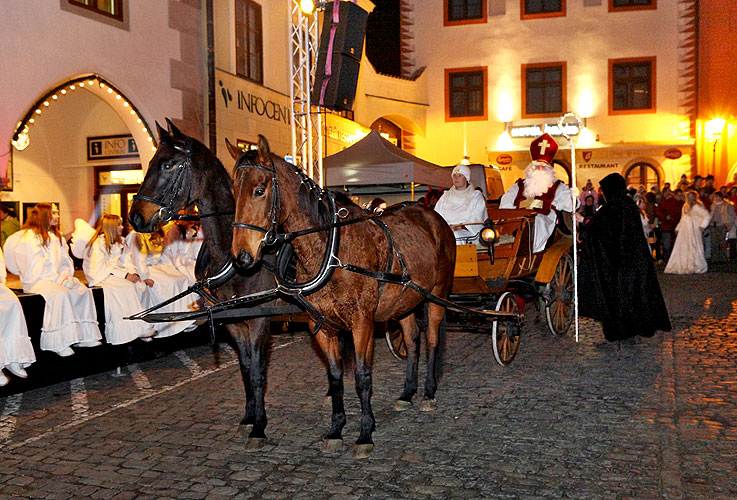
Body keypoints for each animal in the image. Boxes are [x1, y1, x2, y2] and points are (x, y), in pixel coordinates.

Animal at [126, 120, 276, 450]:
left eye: (168, 164)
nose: (135, 217)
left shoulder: (259, 320)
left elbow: (259, 372)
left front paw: (259, 427)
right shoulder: (233, 321)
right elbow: (246, 368)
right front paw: (249, 418)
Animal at [230, 135, 454, 458]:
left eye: (259, 190)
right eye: (233, 191)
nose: (242, 257)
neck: (332, 250)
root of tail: (433, 216)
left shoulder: (362, 322)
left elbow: (362, 376)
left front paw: (364, 434)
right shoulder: (321, 325)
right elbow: (335, 377)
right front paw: (336, 430)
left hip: (436, 296)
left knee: (432, 340)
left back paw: (428, 393)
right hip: (405, 301)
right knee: (412, 339)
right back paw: (407, 393)